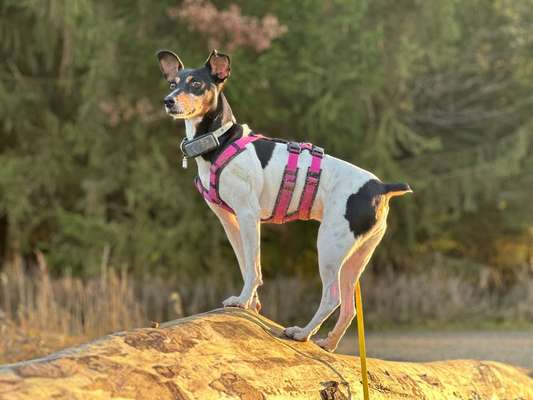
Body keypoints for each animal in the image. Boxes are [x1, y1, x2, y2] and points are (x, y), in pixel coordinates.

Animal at [155, 49, 412, 350]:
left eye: (196, 84)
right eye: (173, 83)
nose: (168, 100)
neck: (220, 141)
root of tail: (380, 187)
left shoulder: (248, 215)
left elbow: (253, 268)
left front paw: (243, 301)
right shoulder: (230, 221)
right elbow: (244, 263)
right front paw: (250, 303)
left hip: (329, 246)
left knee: (332, 298)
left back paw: (302, 333)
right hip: (355, 258)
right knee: (349, 307)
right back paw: (328, 343)